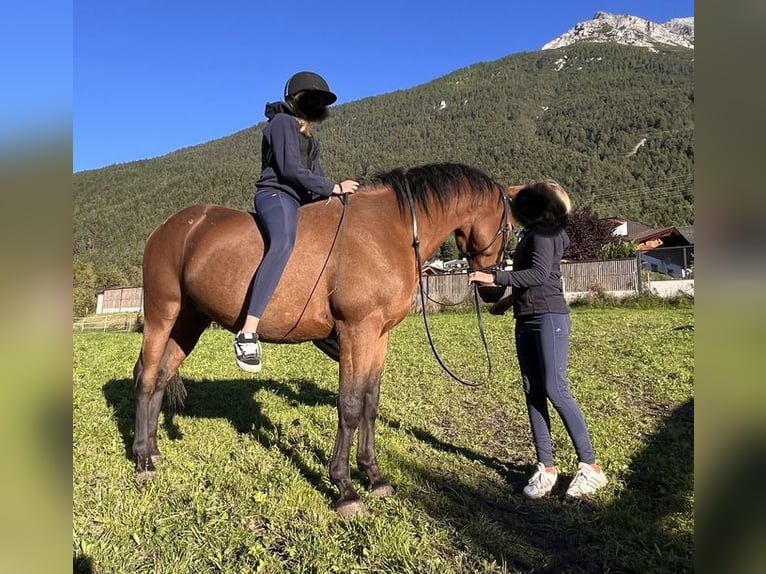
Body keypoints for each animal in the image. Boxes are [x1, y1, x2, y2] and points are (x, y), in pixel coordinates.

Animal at [133, 162, 518, 517]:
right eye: (509, 227)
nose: (494, 288)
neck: (388, 230)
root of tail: (172, 226)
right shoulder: (356, 331)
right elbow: (349, 406)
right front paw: (345, 488)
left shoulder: (378, 335)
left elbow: (370, 403)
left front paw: (374, 476)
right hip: (162, 313)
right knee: (147, 378)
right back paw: (142, 460)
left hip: (189, 321)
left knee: (161, 378)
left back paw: (153, 451)